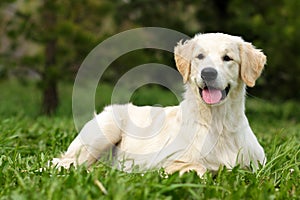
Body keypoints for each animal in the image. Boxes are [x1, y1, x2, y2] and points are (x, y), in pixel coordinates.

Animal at [52, 33, 266, 177]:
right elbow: (198, 168)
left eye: (227, 58)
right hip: (103, 133)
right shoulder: (168, 162)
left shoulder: (258, 165)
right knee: (63, 163)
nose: (208, 73)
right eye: (200, 56)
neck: (219, 123)